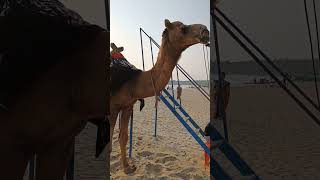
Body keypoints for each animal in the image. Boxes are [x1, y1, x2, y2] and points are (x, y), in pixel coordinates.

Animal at [109, 19, 210, 174]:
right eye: (182, 28)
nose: (205, 30)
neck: (134, 81)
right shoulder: (112, 107)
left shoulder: (127, 106)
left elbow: (123, 137)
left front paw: (127, 168)